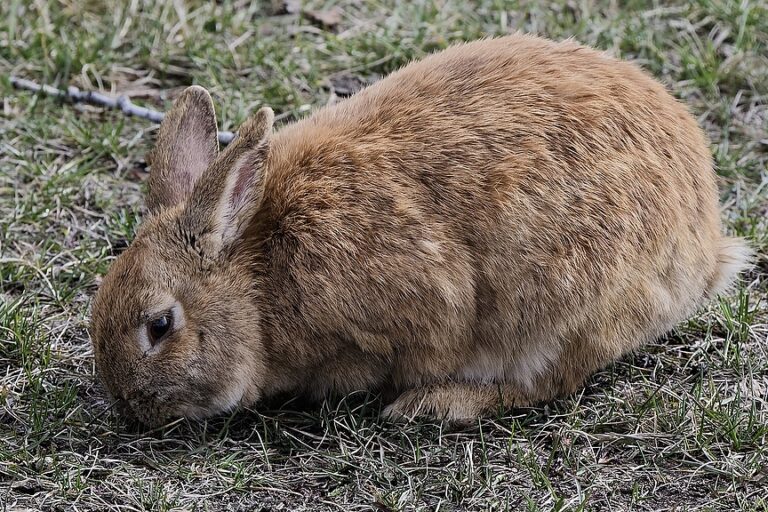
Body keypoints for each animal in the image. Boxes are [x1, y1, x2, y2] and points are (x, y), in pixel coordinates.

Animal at [90, 34, 753, 426]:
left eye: (160, 325)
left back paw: (432, 404)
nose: (127, 404)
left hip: (562, 313)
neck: (256, 280)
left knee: (550, 383)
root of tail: (703, 246)